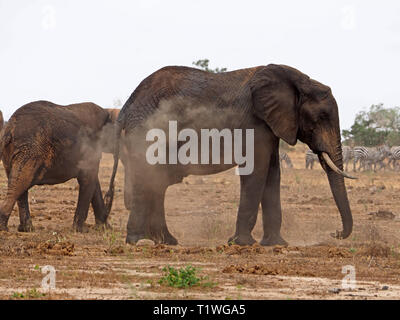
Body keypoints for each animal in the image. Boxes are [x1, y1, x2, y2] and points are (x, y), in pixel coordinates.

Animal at [104, 63, 354, 246]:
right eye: (320, 118)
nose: (334, 233)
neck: (298, 80)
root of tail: (126, 107)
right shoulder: (254, 123)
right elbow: (256, 171)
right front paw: (242, 243)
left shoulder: (271, 125)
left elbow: (273, 174)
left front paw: (276, 244)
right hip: (146, 131)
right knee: (147, 178)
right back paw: (138, 241)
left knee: (156, 182)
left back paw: (166, 241)